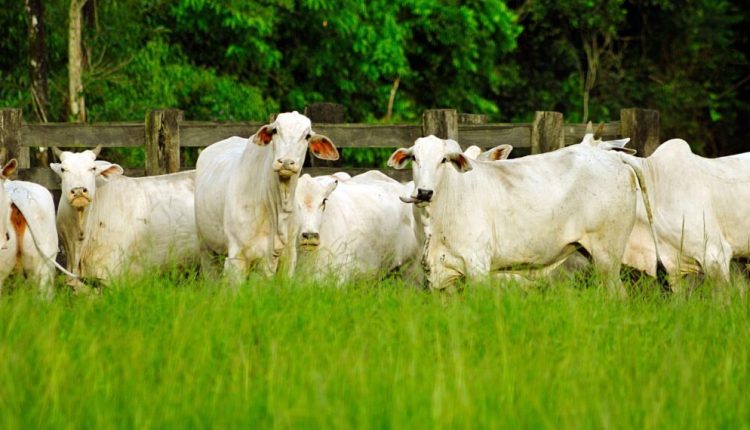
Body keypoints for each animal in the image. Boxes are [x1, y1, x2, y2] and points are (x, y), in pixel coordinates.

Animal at [194, 111, 338, 280]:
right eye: (275, 130)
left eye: (307, 136)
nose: (286, 162)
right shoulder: (237, 257)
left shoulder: (286, 258)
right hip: (206, 249)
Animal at [388, 136, 648, 294]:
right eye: (414, 158)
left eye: (443, 160)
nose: (424, 192)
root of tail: (613, 156)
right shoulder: (441, 276)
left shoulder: (478, 267)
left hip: (608, 255)